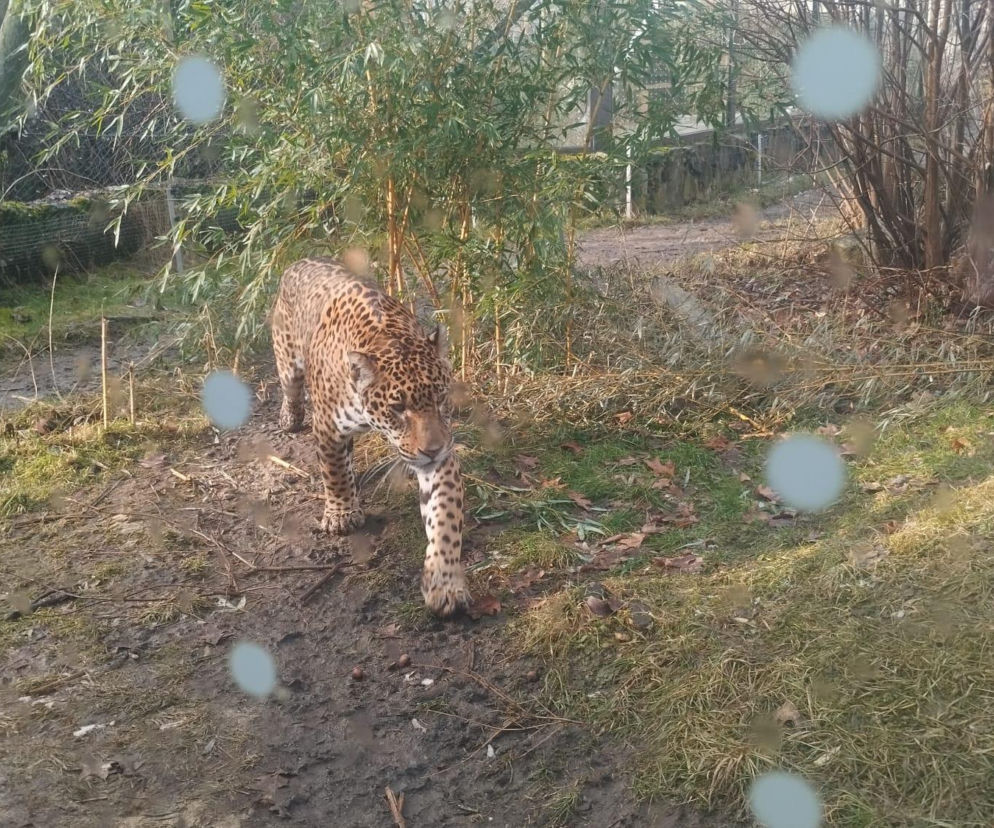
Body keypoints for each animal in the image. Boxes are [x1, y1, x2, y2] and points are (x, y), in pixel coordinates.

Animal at [270, 256, 472, 618]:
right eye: (398, 408)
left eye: (440, 398)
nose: (433, 450)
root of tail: (299, 262)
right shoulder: (327, 426)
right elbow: (334, 471)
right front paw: (341, 514)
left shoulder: (440, 457)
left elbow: (445, 517)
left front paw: (444, 582)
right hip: (287, 359)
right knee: (290, 388)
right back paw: (289, 418)